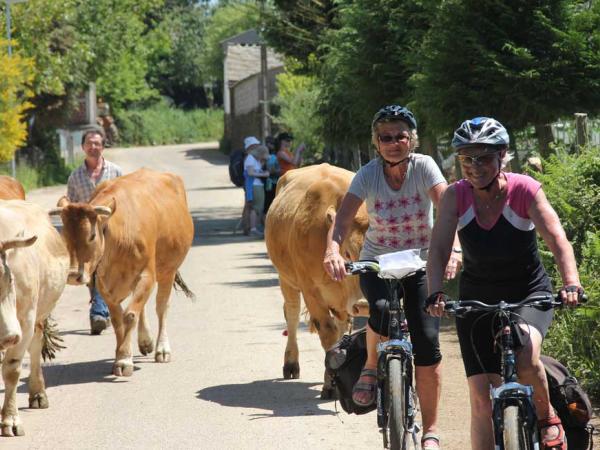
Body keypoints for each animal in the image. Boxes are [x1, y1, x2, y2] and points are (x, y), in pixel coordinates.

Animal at [0, 200, 68, 436]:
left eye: (9, 280)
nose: (10, 336)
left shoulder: (25, 321)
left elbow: (12, 369)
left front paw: (10, 419)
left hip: (38, 316)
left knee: (36, 348)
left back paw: (38, 394)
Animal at [50, 169, 195, 376]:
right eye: (64, 236)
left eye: (92, 236)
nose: (72, 275)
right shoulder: (104, 283)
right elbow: (118, 319)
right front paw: (121, 355)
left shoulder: (147, 275)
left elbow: (130, 315)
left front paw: (125, 360)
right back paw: (145, 341)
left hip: (168, 269)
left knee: (161, 307)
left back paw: (162, 349)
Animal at [264, 163, 368, 396]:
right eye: (347, 253)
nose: (364, 304)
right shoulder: (311, 292)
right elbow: (328, 334)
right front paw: (329, 386)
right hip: (286, 280)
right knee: (292, 315)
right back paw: (291, 364)